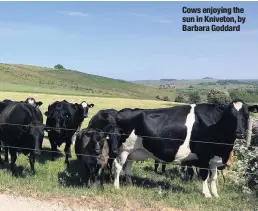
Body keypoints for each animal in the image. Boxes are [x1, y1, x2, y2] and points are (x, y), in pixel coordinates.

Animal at [113, 99, 258, 197]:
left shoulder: (214, 159)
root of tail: (123, 111)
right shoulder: (203, 156)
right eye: (231, 116)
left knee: (128, 167)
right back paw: (116, 186)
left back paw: (129, 184)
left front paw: (215, 194)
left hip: (133, 151)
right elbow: (204, 176)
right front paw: (206, 194)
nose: (240, 133)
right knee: (118, 166)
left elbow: (214, 178)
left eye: (247, 116)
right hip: (123, 149)